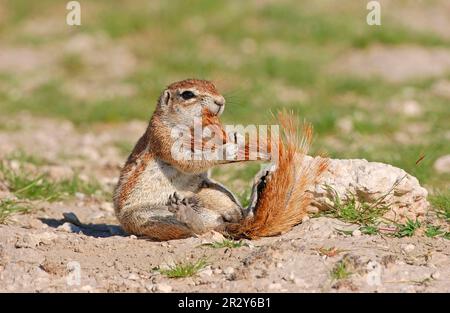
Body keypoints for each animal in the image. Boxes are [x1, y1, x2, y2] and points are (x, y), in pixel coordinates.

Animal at [114, 79, 328, 240]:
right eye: (187, 95)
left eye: (212, 85)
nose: (221, 101)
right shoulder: (164, 137)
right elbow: (187, 160)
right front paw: (229, 150)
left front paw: (238, 139)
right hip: (147, 215)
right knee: (201, 228)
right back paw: (187, 215)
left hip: (212, 189)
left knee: (234, 217)